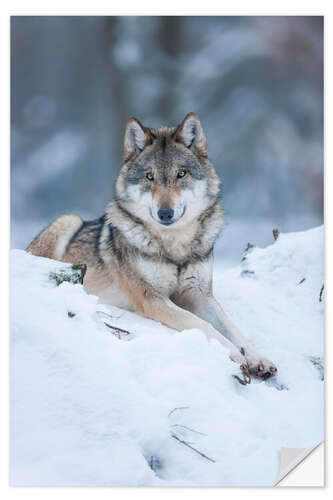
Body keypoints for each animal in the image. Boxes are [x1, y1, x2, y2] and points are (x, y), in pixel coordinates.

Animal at [27, 112, 278, 378]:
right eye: (149, 177)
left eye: (181, 174)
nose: (165, 213)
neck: (175, 248)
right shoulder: (152, 299)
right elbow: (204, 326)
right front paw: (233, 354)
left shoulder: (200, 295)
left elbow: (234, 329)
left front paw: (258, 358)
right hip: (68, 219)